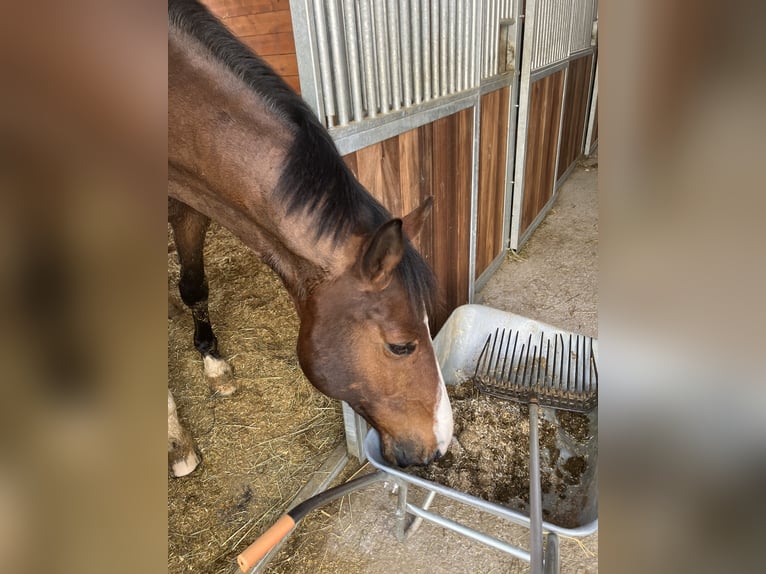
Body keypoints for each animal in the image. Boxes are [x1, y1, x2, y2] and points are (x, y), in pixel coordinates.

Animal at [170, 0, 450, 476]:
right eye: (401, 346)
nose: (442, 443)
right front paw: (177, 444)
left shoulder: (191, 201)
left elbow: (193, 286)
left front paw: (213, 362)